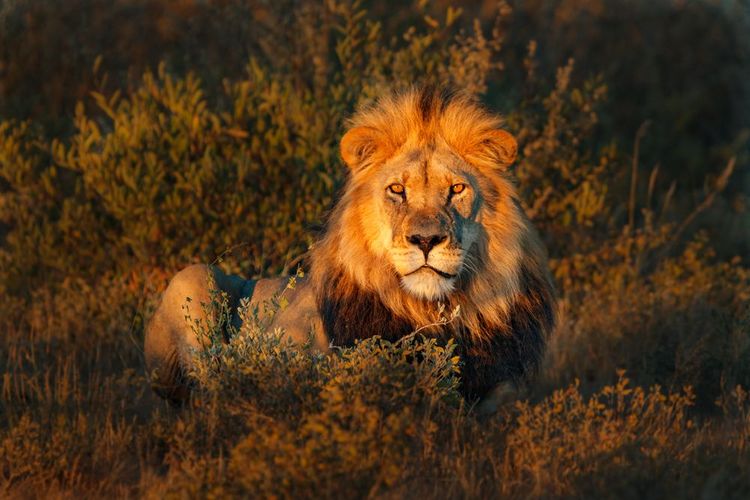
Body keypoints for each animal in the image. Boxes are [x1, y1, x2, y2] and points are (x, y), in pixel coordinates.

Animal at [145, 87, 560, 410]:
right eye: (397, 190)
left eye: (456, 189)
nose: (426, 241)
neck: (429, 310)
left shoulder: (506, 381)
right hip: (193, 277)